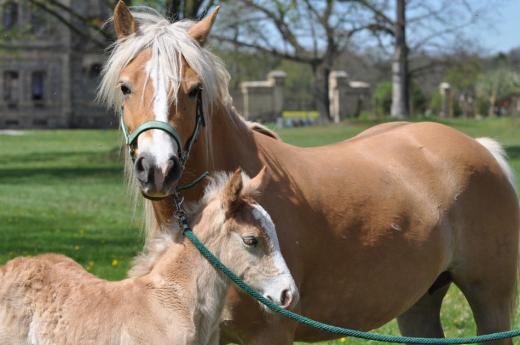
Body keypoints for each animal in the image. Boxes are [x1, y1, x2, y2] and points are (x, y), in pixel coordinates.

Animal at [98, 2, 520, 342]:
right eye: (125, 87)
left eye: (193, 89)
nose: (157, 167)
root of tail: (481, 148)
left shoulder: (269, 335)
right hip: (420, 302)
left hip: (492, 302)